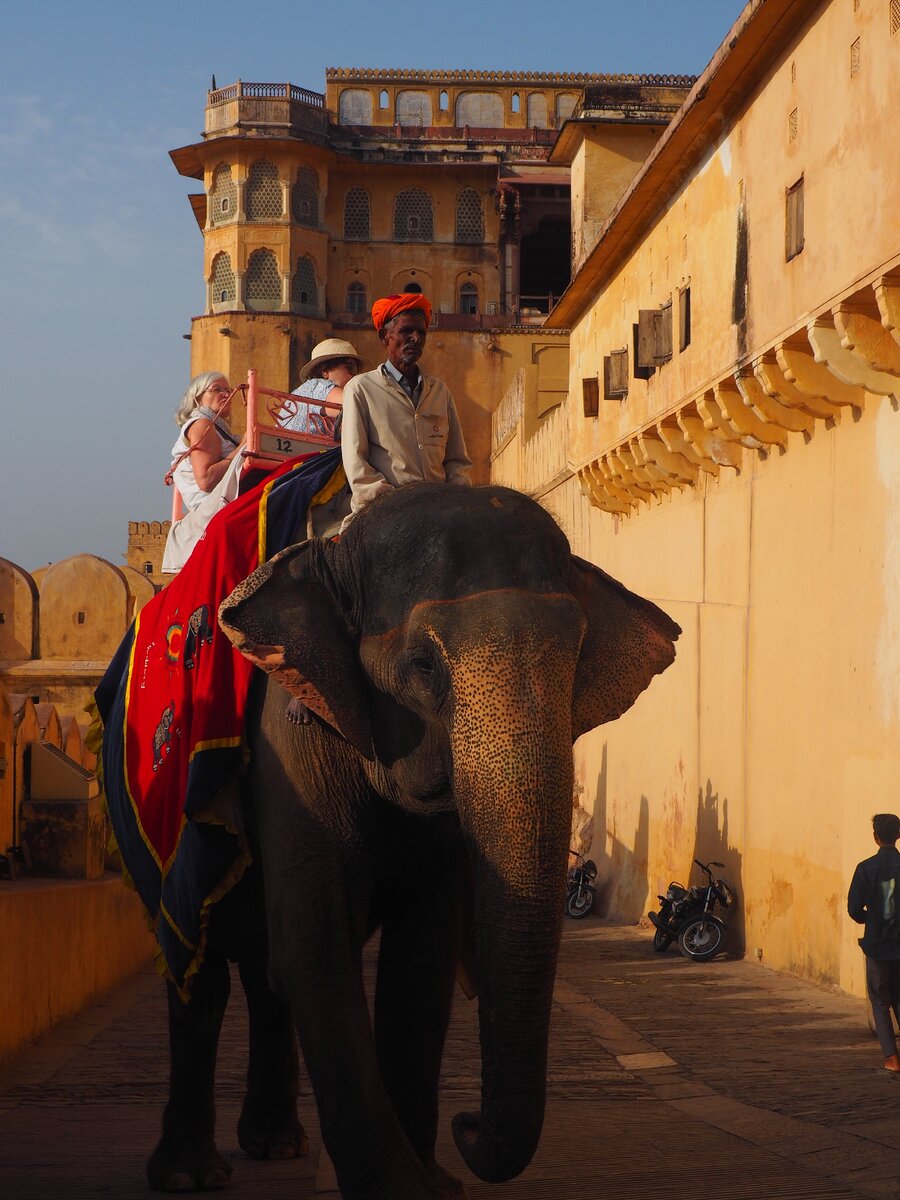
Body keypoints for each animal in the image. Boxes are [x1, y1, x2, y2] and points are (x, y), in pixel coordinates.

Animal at [151, 480, 681, 1200]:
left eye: (576, 666)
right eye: (424, 666)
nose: (468, 1123)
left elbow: (422, 955)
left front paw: (436, 1182)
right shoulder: (285, 741)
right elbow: (317, 947)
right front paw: (403, 1187)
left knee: (264, 977)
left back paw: (276, 1144)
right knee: (198, 976)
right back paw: (188, 1173)